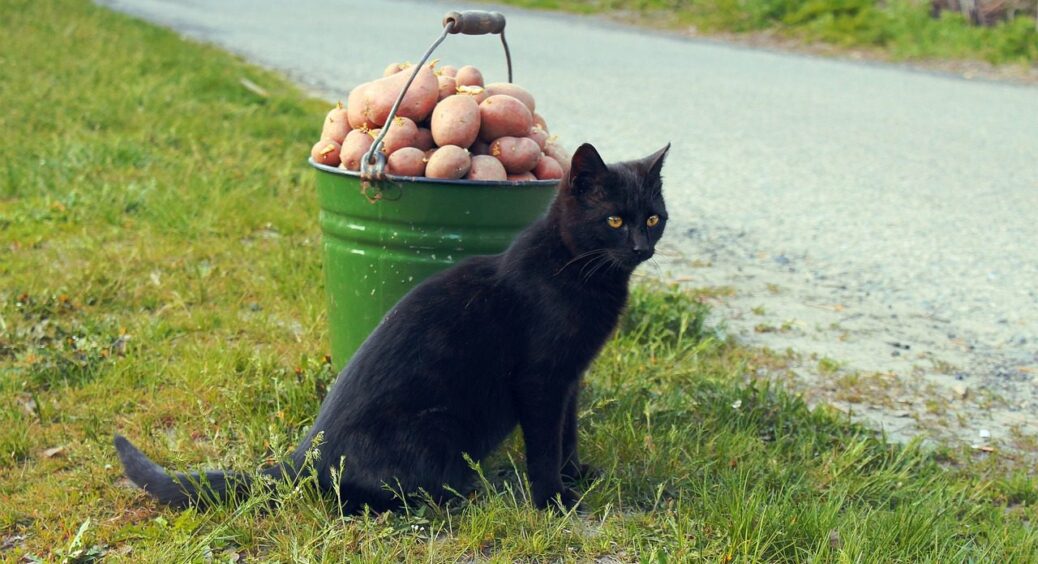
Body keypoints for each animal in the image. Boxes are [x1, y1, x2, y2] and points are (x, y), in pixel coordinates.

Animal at [117, 141, 672, 511]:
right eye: (615, 221)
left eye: (653, 218)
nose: (642, 248)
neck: (576, 271)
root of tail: (303, 456)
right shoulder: (540, 381)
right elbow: (544, 441)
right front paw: (555, 499)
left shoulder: (570, 379)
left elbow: (567, 433)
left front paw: (576, 474)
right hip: (440, 429)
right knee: (353, 497)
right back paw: (460, 496)